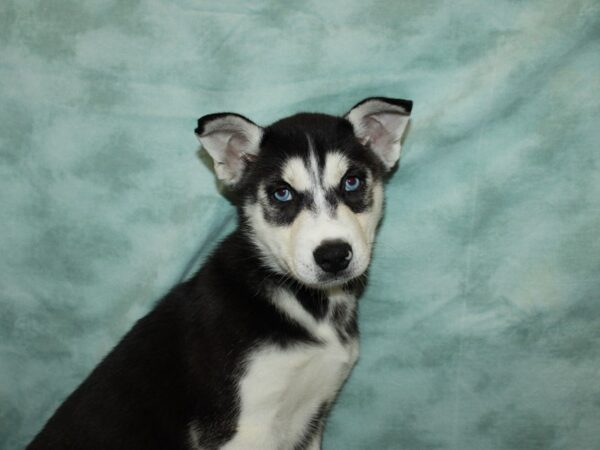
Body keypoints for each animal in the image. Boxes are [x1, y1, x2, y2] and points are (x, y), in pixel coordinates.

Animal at [28, 96, 412, 448]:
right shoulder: (240, 427)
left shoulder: (312, 417)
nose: (333, 255)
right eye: (282, 193)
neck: (302, 302)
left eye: (352, 182)